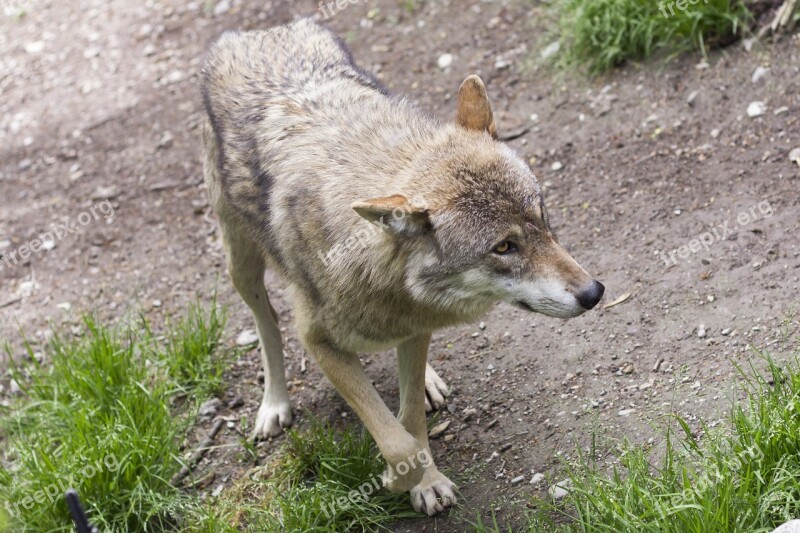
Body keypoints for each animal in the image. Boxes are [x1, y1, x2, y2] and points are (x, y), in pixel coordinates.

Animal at [202, 18, 608, 512]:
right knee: (267, 325)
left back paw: (429, 381)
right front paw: (398, 479)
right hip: (240, 266)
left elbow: (410, 417)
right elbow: (398, 444)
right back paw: (274, 405)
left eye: (542, 217)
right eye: (504, 247)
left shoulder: (415, 327)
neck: (384, 280)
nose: (593, 292)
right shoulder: (318, 342)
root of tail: (262, 30)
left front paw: (426, 479)